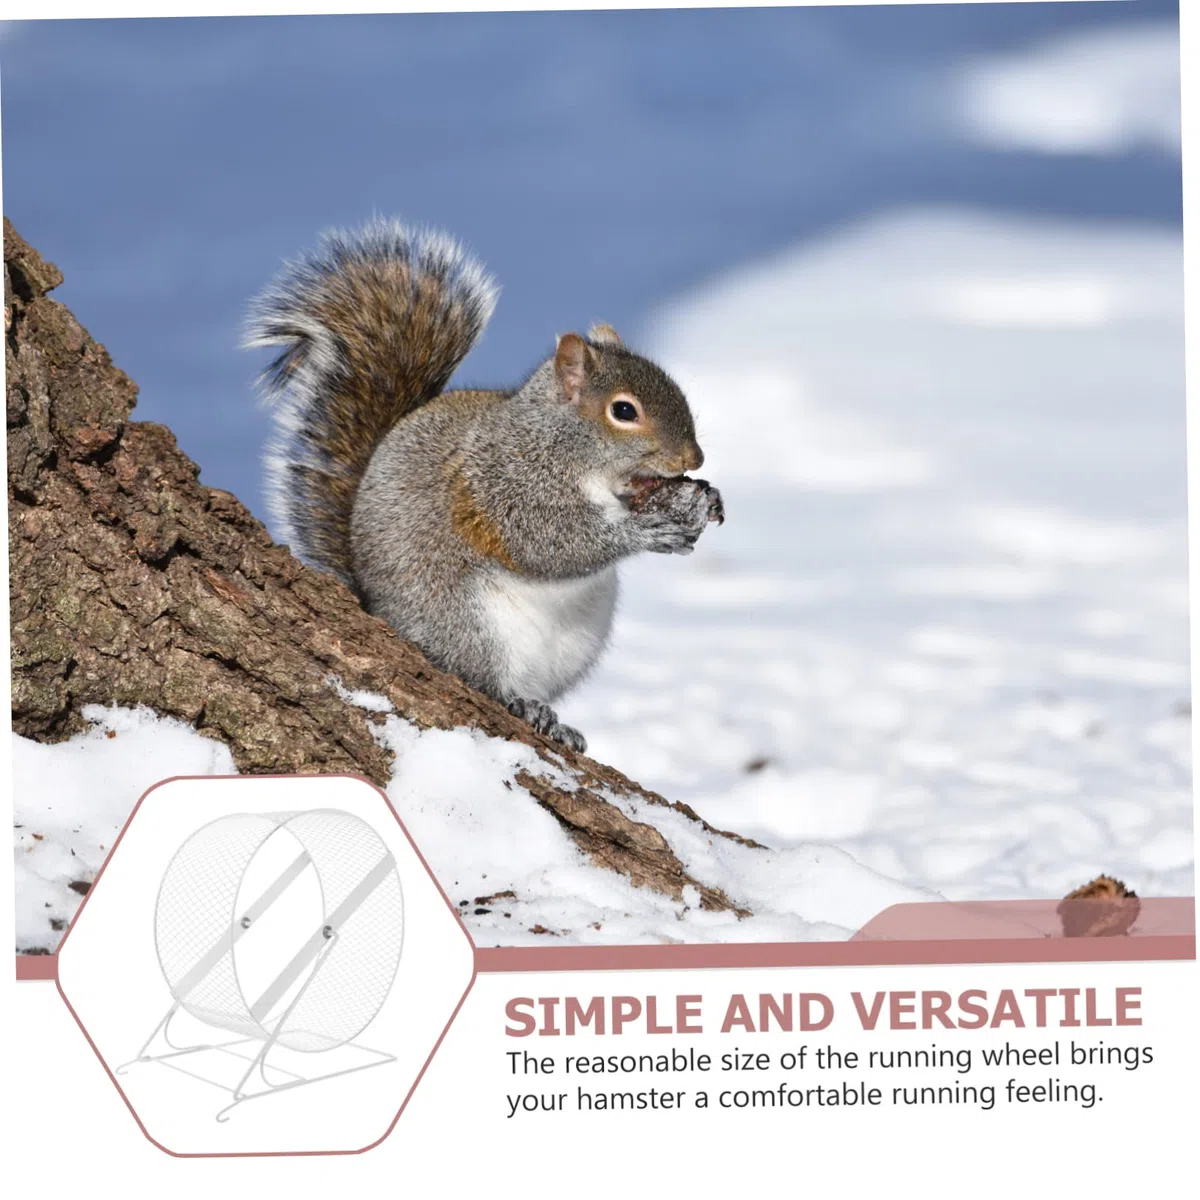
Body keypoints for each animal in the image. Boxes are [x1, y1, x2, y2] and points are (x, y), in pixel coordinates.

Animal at [247, 218, 723, 754]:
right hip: (464, 624)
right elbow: (549, 543)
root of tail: (375, 609)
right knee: (479, 678)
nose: (694, 459)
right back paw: (519, 702)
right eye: (623, 410)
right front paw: (646, 531)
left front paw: (704, 500)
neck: (560, 445)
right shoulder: (502, 485)